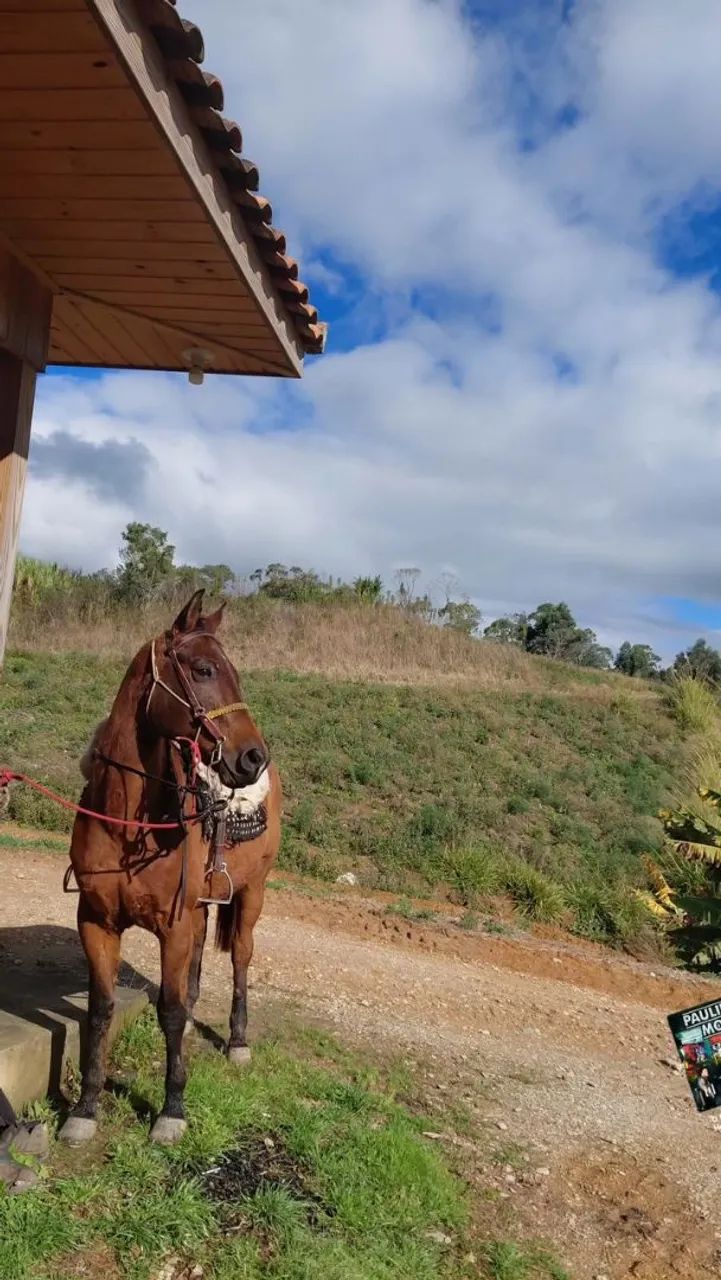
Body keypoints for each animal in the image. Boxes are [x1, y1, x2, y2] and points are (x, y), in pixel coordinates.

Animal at [59, 590, 281, 1147]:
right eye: (203, 669)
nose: (253, 757)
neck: (128, 822)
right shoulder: (96, 923)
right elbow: (99, 1011)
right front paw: (86, 1108)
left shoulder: (173, 928)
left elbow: (172, 1013)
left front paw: (172, 1108)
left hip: (252, 894)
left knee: (240, 958)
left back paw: (238, 1040)